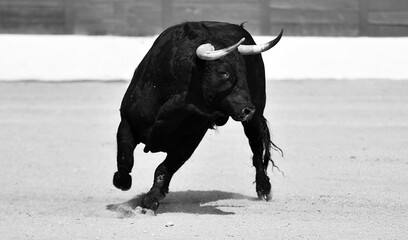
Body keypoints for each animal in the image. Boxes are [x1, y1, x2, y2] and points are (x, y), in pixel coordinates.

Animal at [113, 21, 282, 211]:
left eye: (245, 73)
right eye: (223, 72)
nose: (248, 110)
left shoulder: (192, 136)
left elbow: (165, 167)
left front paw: (151, 200)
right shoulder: (127, 121)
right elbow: (125, 158)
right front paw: (122, 181)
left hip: (255, 116)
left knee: (256, 147)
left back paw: (263, 188)